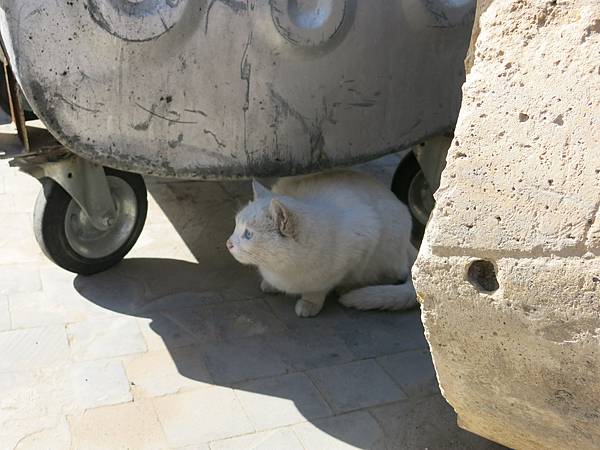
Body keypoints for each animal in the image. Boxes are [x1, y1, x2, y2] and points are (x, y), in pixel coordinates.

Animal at [225, 171, 418, 318]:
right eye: (235, 225)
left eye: (248, 234)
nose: (228, 243)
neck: (280, 268)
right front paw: (270, 284)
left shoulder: (363, 239)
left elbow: (318, 288)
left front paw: (309, 303)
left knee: (387, 276)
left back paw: (347, 288)